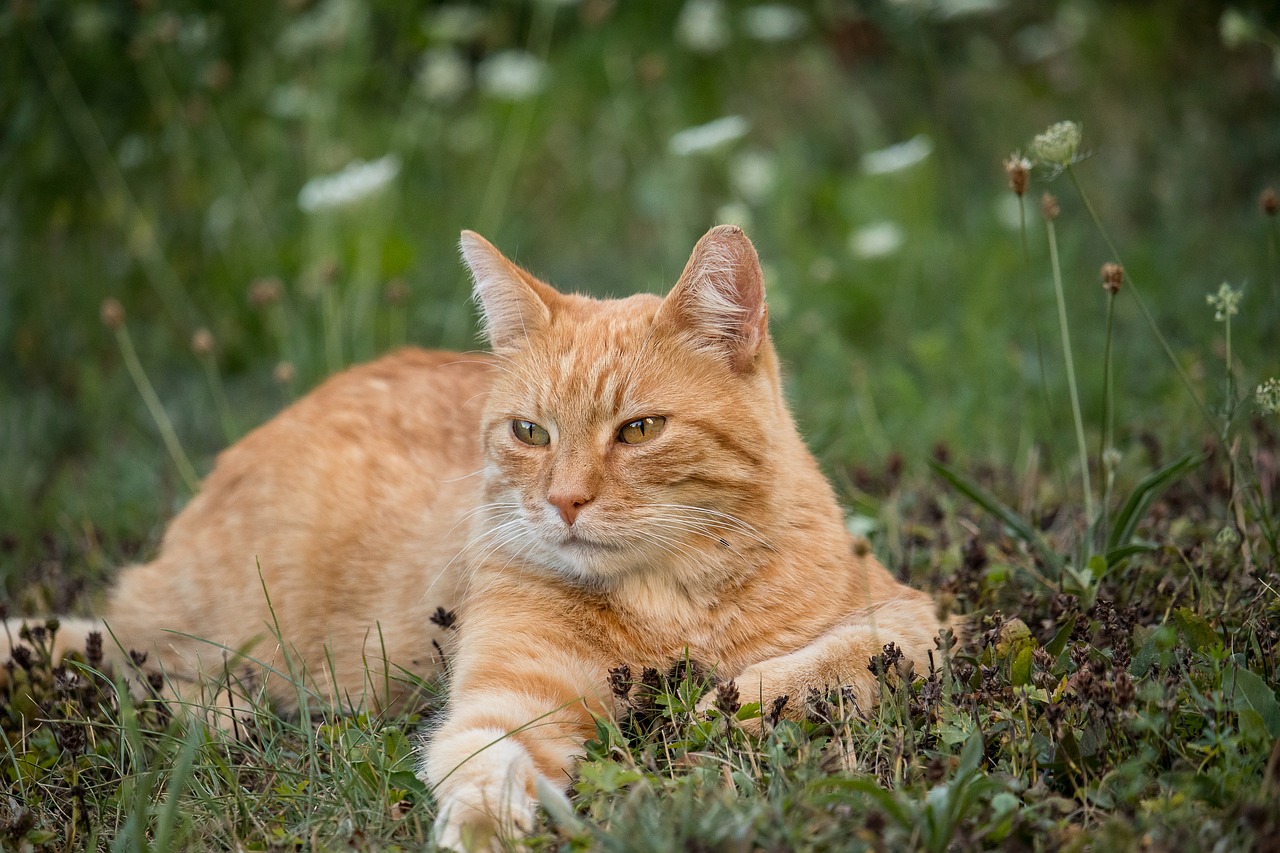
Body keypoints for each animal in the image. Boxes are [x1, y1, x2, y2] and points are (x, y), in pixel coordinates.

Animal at [7, 227, 952, 850]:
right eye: (530, 432)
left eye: (639, 429)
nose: (564, 501)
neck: (671, 599)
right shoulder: (505, 700)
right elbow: (482, 770)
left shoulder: (918, 619)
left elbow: (838, 661)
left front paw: (733, 700)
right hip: (217, 622)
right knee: (135, 659)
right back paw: (228, 713)